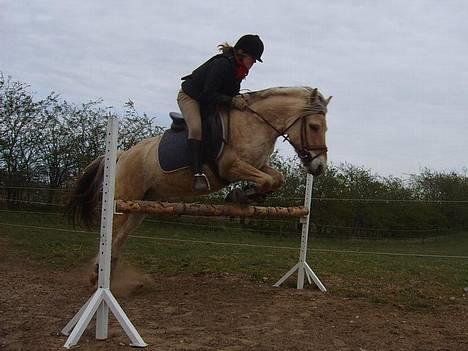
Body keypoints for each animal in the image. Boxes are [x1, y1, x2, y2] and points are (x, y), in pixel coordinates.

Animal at [67, 85, 330, 280]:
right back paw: (98, 273)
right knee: (110, 233)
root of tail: (122, 154)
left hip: (141, 206)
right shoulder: (230, 167)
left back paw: (109, 272)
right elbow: (266, 179)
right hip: (123, 200)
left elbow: (276, 178)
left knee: (120, 237)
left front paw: (249, 195)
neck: (256, 123)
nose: (319, 167)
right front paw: (241, 195)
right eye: (315, 127)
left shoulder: (258, 164)